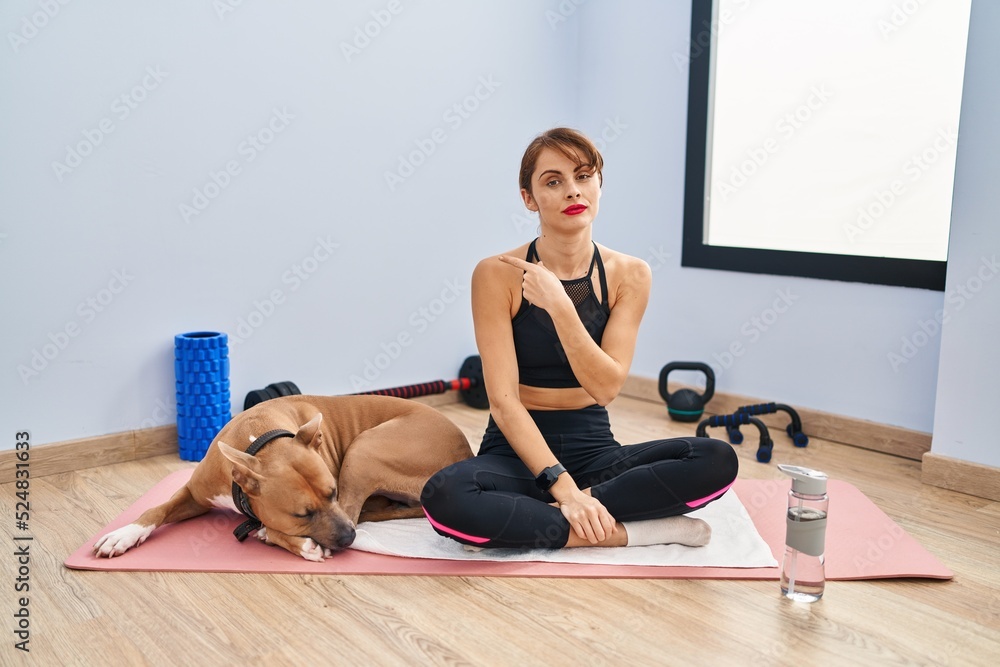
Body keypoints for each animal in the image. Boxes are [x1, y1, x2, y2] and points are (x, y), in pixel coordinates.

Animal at [93, 394, 472, 560]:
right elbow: (155, 509)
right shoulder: (193, 493)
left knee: (354, 511)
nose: (348, 539)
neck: (259, 440)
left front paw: (291, 540)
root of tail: (464, 451)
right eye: (302, 513)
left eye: (332, 493)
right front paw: (124, 534)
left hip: (362, 450)